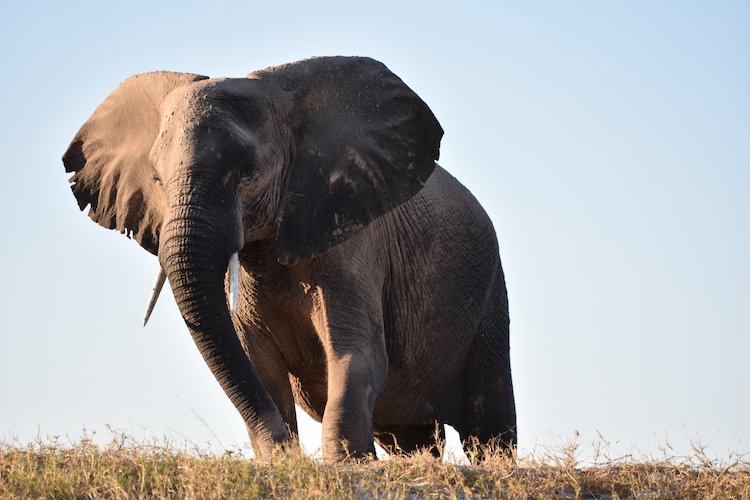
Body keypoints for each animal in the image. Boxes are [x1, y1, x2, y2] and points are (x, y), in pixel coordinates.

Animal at [64, 57, 516, 460]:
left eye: (249, 172)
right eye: (157, 178)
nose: (288, 451)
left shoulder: (353, 243)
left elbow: (358, 354)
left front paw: (347, 465)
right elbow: (258, 365)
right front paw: (280, 460)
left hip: (489, 302)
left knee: (489, 432)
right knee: (414, 440)